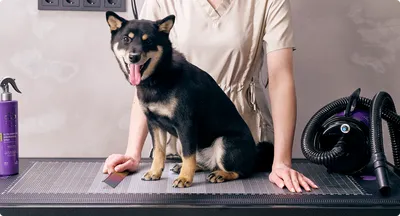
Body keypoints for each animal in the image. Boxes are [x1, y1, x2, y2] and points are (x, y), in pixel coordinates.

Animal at [105, 11, 276, 187]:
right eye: (126, 39)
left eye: (149, 41)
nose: (134, 57)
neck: (158, 77)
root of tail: (255, 157)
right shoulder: (154, 123)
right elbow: (159, 152)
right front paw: (155, 172)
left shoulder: (185, 123)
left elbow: (188, 155)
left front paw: (185, 178)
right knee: (204, 162)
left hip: (224, 142)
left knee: (240, 171)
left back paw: (220, 174)